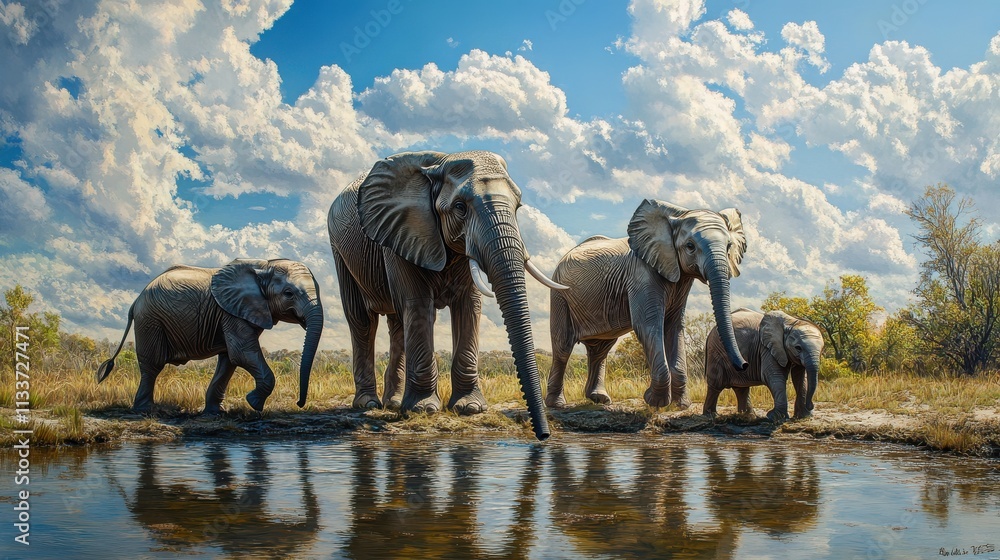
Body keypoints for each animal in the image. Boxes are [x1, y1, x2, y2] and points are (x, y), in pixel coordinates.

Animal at [96, 258, 324, 413]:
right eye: (288, 294)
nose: (299, 403)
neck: (264, 265)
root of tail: (136, 299)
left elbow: (229, 360)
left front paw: (216, 413)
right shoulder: (231, 312)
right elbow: (241, 353)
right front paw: (253, 404)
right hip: (150, 320)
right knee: (152, 365)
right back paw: (146, 410)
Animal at [328, 150, 564, 440]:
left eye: (518, 207)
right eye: (460, 207)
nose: (543, 436)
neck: (440, 162)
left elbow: (468, 306)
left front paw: (469, 408)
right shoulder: (404, 229)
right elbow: (419, 305)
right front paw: (423, 410)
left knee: (397, 324)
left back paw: (392, 404)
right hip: (339, 249)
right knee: (362, 320)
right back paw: (368, 404)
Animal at [546, 199, 749, 410]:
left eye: (729, 246)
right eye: (690, 246)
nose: (745, 365)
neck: (677, 216)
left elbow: (674, 327)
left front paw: (680, 405)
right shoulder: (641, 273)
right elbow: (647, 324)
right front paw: (655, 402)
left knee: (600, 350)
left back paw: (599, 399)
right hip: (560, 293)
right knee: (563, 346)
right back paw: (557, 404)